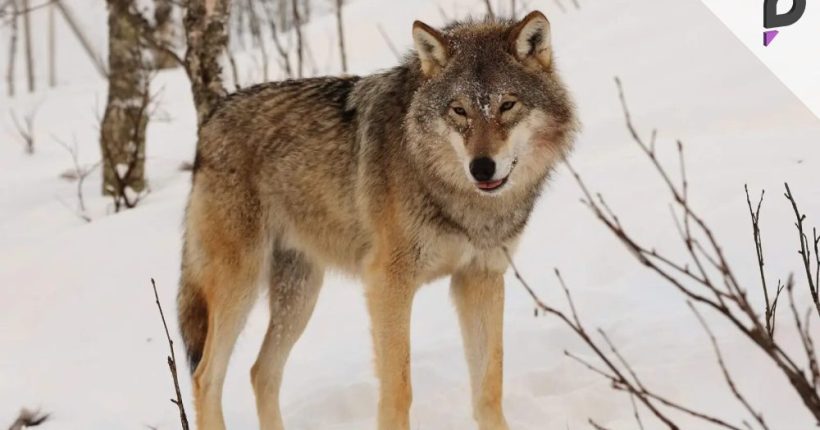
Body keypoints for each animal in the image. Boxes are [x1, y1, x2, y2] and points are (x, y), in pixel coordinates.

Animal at [178, 10, 577, 430]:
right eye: (459, 110)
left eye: (507, 105)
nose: (482, 168)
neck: (456, 197)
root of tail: (211, 120)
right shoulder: (388, 282)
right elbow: (398, 389)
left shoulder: (480, 277)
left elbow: (489, 386)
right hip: (241, 285)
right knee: (206, 377)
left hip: (299, 295)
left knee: (261, 372)